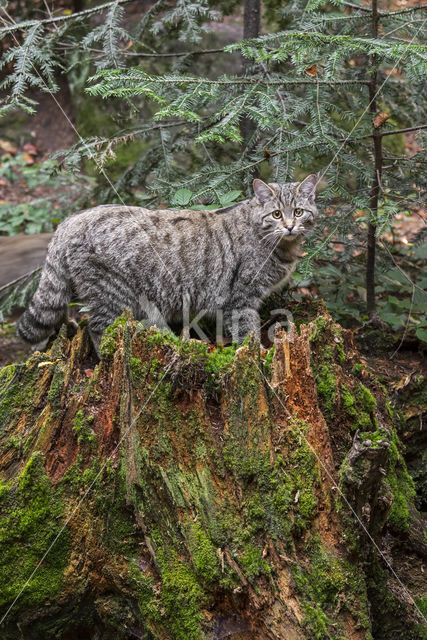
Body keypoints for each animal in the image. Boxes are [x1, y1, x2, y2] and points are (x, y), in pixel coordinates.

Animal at [16, 175, 318, 356]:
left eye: (299, 212)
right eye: (276, 214)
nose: (289, 226)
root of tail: (70, 220)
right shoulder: (242, 297)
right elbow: (248, 331)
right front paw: (260, 356)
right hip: (112, 295)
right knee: (98, 329)